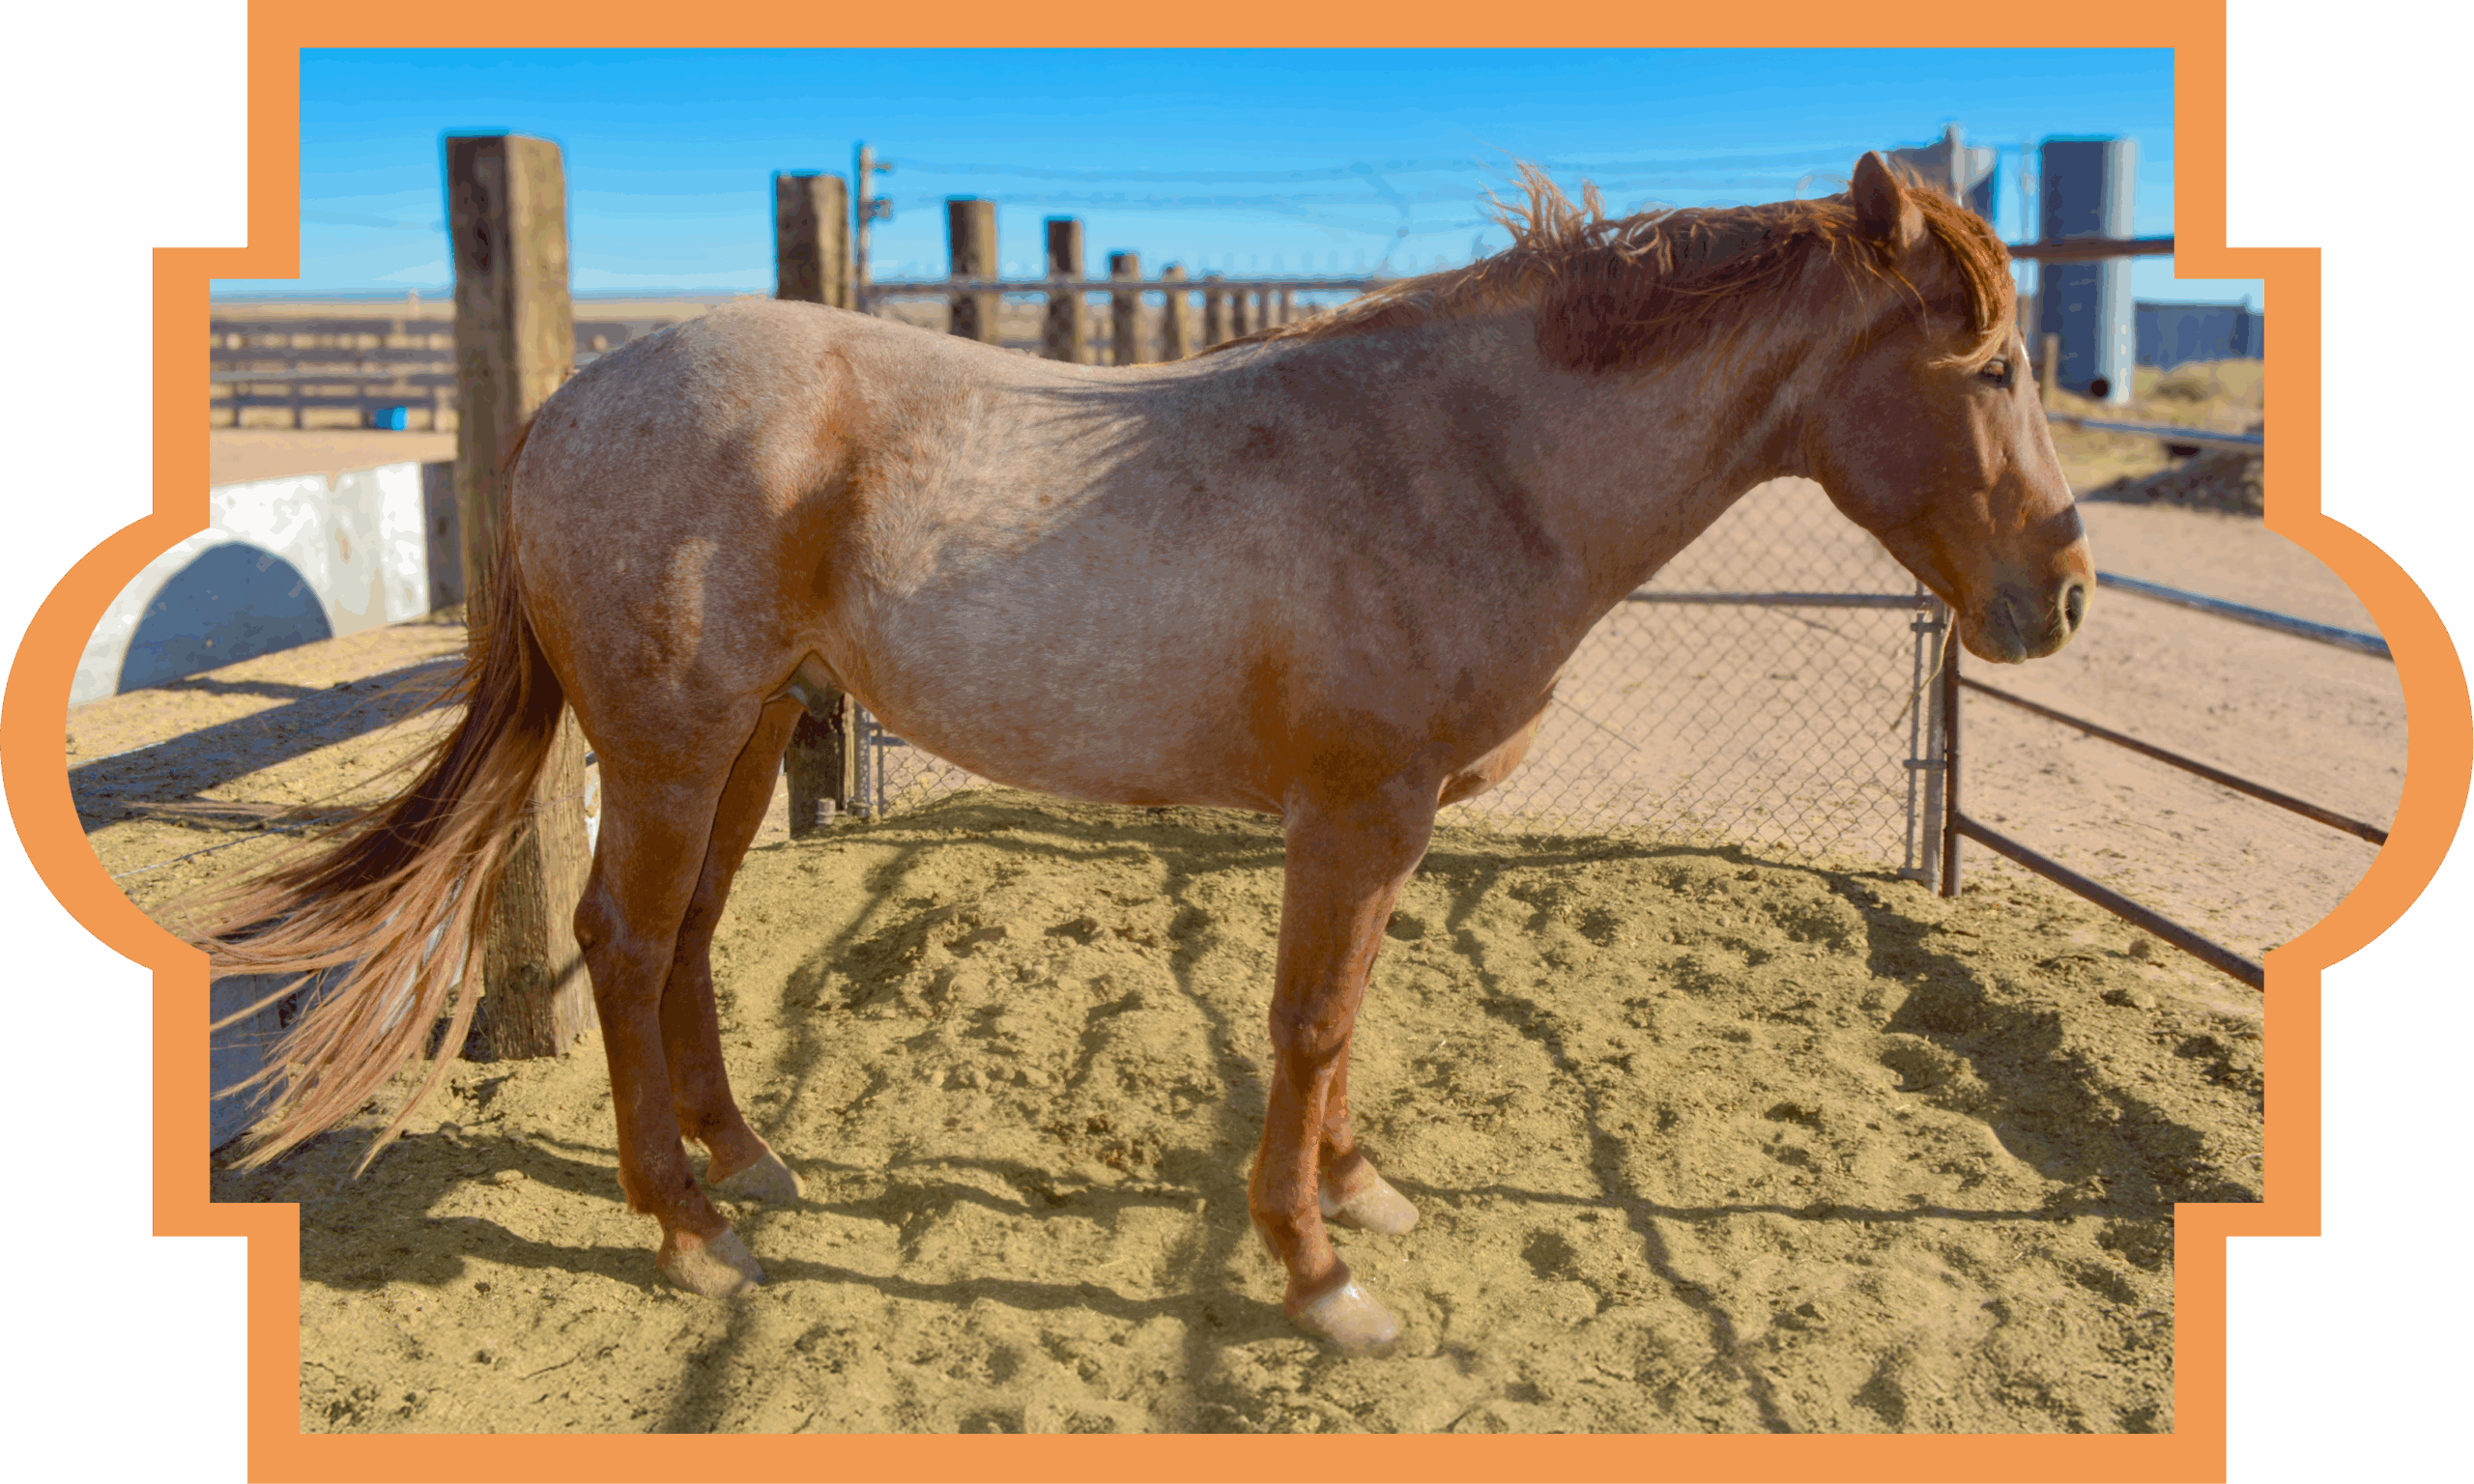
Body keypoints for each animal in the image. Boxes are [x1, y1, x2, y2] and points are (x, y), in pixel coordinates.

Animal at [201, 154, 2091, 1356]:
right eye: (1995, 362)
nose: (2064, 597)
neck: (1464, 461)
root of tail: (575, 398)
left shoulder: (1385, 827)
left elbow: (1349, 1019)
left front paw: (1360, 1196)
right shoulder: (1355, 812)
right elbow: (1310, 1019)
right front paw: (1319, 1277)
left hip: (748, 733)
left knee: (684, 947)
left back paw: (748, 1165)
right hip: (669, 744)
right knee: (624, 941)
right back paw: (688, 1232)